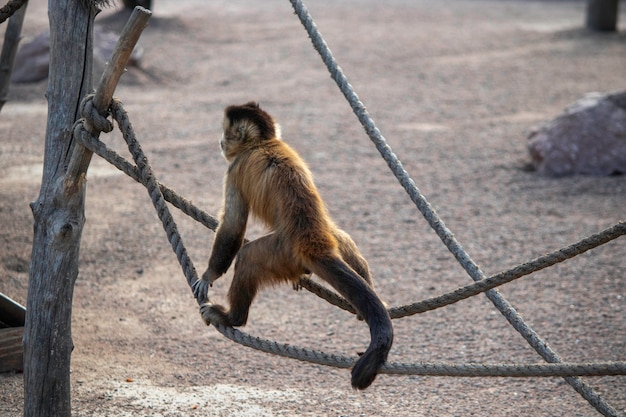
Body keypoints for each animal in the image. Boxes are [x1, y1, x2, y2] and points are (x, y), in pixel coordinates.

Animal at [193, 101, 392, 390]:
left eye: (226, 133)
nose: (220, 141)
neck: (265, 142)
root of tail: (311, 242)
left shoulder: (236, 167)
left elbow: (233, 226)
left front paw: (209, 276)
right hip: (322, 240)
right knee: (343, 238)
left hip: (281, 253)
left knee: (248, 256)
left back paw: (233, 318)